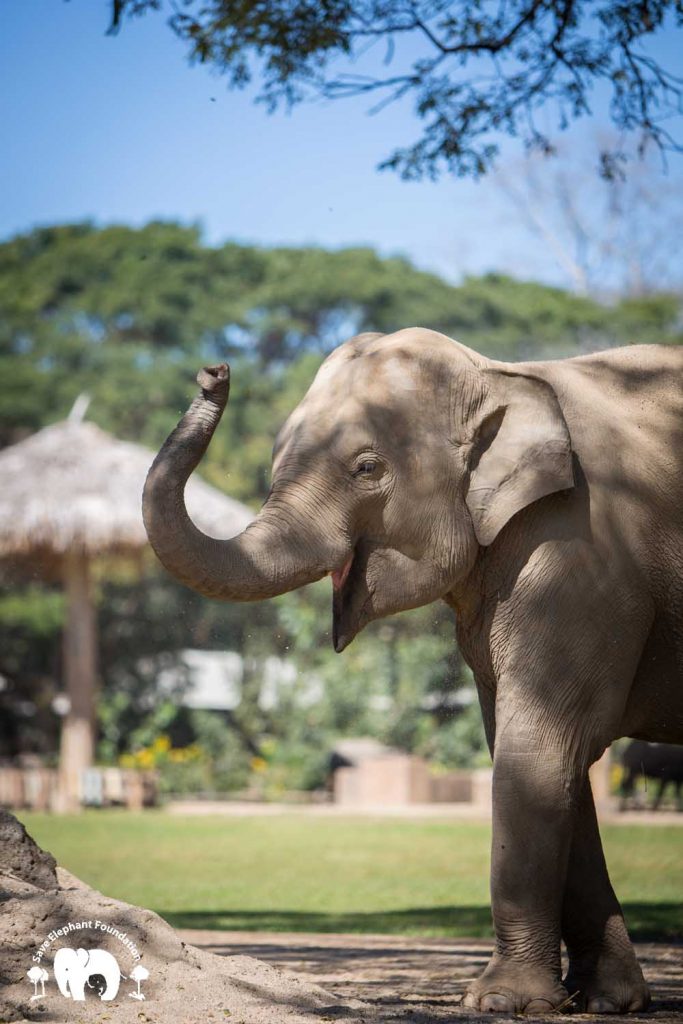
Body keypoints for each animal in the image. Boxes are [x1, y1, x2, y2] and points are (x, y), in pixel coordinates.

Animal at [143, 328, 683, 1014]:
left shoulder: (583, 553)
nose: (215, 373)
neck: (504, 373)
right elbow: (540, 754)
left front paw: (500, 1003)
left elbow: (538, 747)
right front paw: (604, 1002)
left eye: (367, 468)